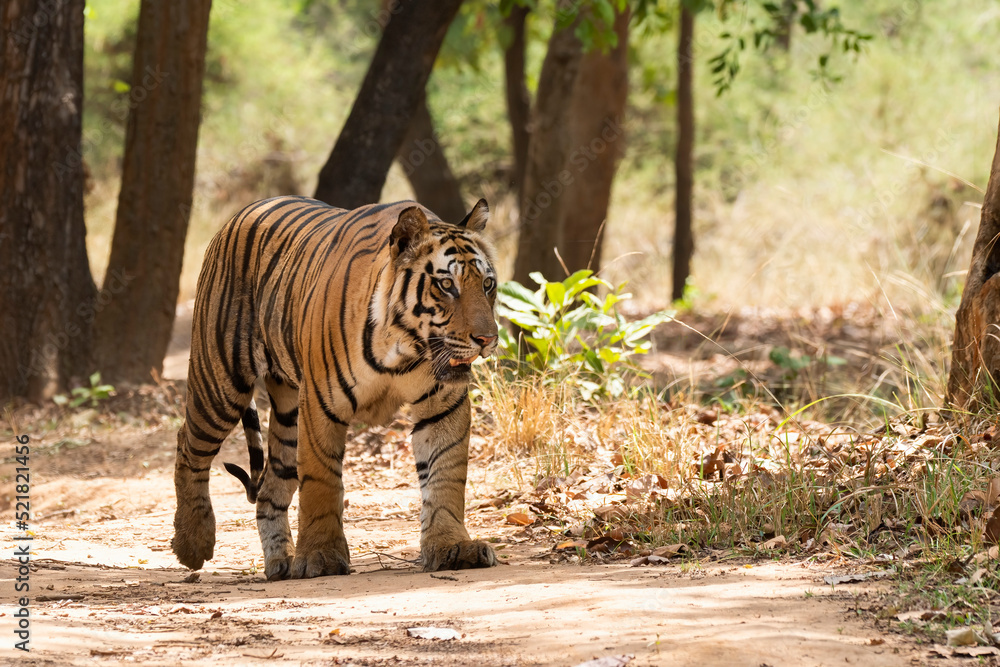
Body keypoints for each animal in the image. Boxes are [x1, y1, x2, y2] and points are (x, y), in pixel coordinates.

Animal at [171, 195, 500, 580]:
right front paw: (321, 556)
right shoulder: (320, 404)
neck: (404, 347)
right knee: (188, 446)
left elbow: (445, 475)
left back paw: (281, 563)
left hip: (287, 415)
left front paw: (452, 547)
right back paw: (193, 542)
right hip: (220, 384)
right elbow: (321, 482)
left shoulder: (442, 404)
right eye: (447, 285)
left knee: (269, 488)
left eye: (488, 285)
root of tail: (243, 212)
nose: (487, 339)